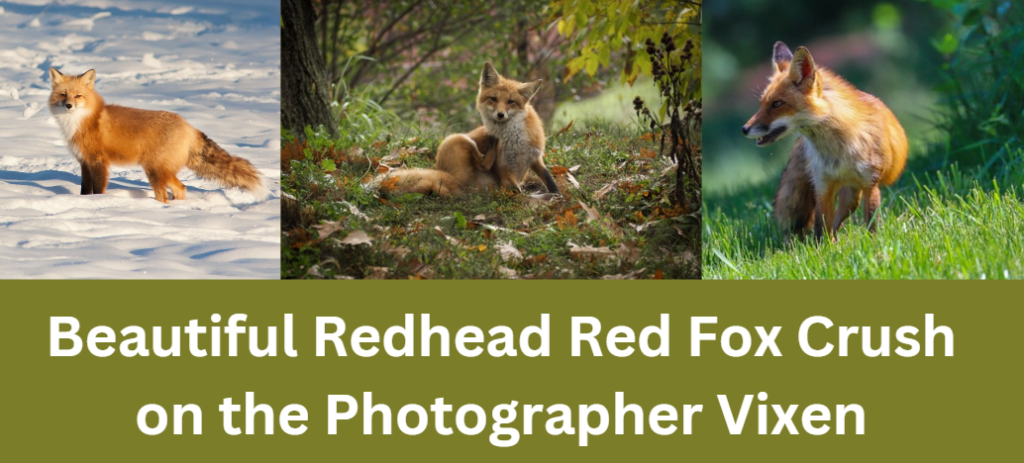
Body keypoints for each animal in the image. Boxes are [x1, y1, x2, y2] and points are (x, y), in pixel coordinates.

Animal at [48, 67, 264, 202]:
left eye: (78, 96)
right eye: (63, 94)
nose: (68, 106)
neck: (81, 121)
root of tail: (188, 126)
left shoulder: (99, 161)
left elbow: (98, 191)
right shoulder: (84, 162)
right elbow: (85, 191)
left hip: (154, 170)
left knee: (167, 195)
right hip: (161, 170)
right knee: (181, 189)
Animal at [385, 62, 561, 196]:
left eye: (511, 102)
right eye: (493, 99)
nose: (500, 114)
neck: (516, 139)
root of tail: (442, 172)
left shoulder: (535, 157)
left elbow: (549, 179)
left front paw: (556, 194)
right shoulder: (506, 170)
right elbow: (516, 189)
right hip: (456, 138)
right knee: (483, 163)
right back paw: (492, 143)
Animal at [741, 42, 909, 242]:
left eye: (777, 104)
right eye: (762, 104)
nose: (744, 129)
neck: (837, 151)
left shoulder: (871, 184)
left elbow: (871, 224)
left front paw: (873, 243)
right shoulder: (822, 187)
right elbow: (821, 229)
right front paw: (825, 248)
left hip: (852, 196)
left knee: (841, 216)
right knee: (834, 223)